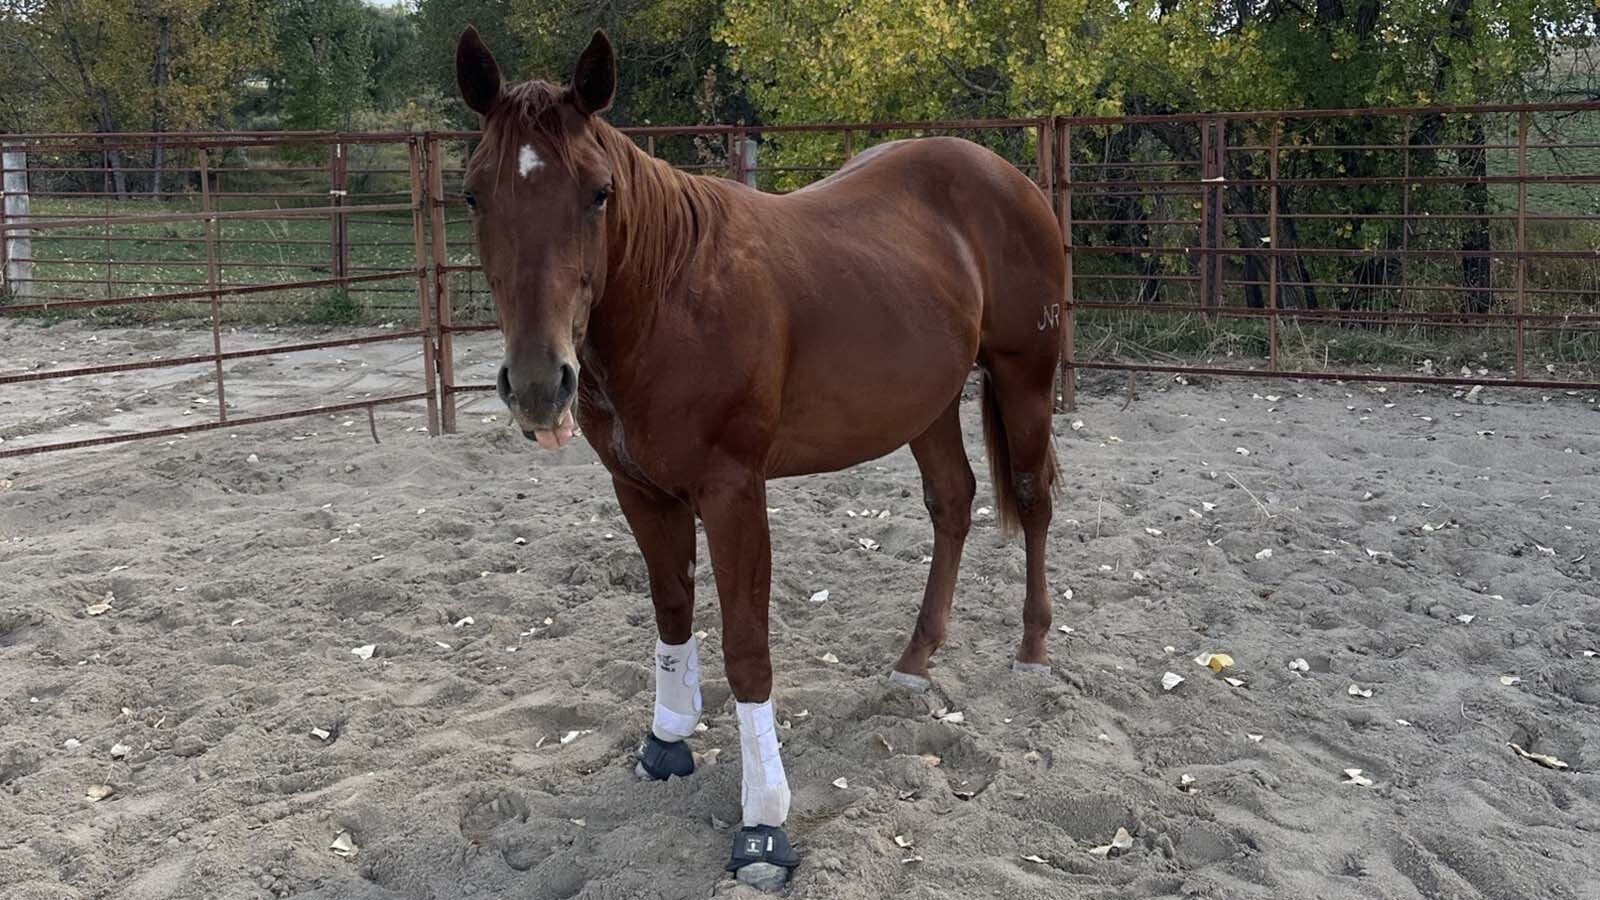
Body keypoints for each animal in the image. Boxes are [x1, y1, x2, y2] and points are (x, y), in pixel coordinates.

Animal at [454, 25, 1065, 888]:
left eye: (599, 193)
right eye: (475, 194)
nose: (541, 386)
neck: (670, 297)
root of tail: (1010, 178)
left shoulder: (733, 490)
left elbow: (747, 648)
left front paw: (764, 823)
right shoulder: (640, 489)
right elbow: (672, 610)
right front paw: (666, 740)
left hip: (1024, 374)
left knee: (1032, 496)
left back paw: (1034, 648)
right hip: (929, 403)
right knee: (953, 500)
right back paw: (915, 660)